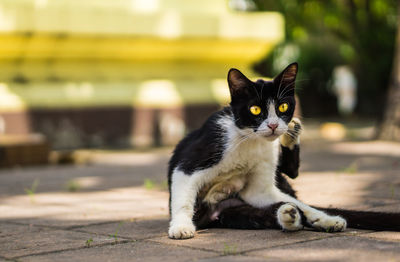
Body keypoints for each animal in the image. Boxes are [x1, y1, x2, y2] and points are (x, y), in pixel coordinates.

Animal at [166, 62, 400, 238]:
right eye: (255, 109)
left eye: (283, 107)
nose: (272, 125)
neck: (250, 141)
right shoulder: (191, 162)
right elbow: (183, 198)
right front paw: (181, 226)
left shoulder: (259, 185)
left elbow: (267, 193)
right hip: (236, 212)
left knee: (295, 202)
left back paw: (313, 217)